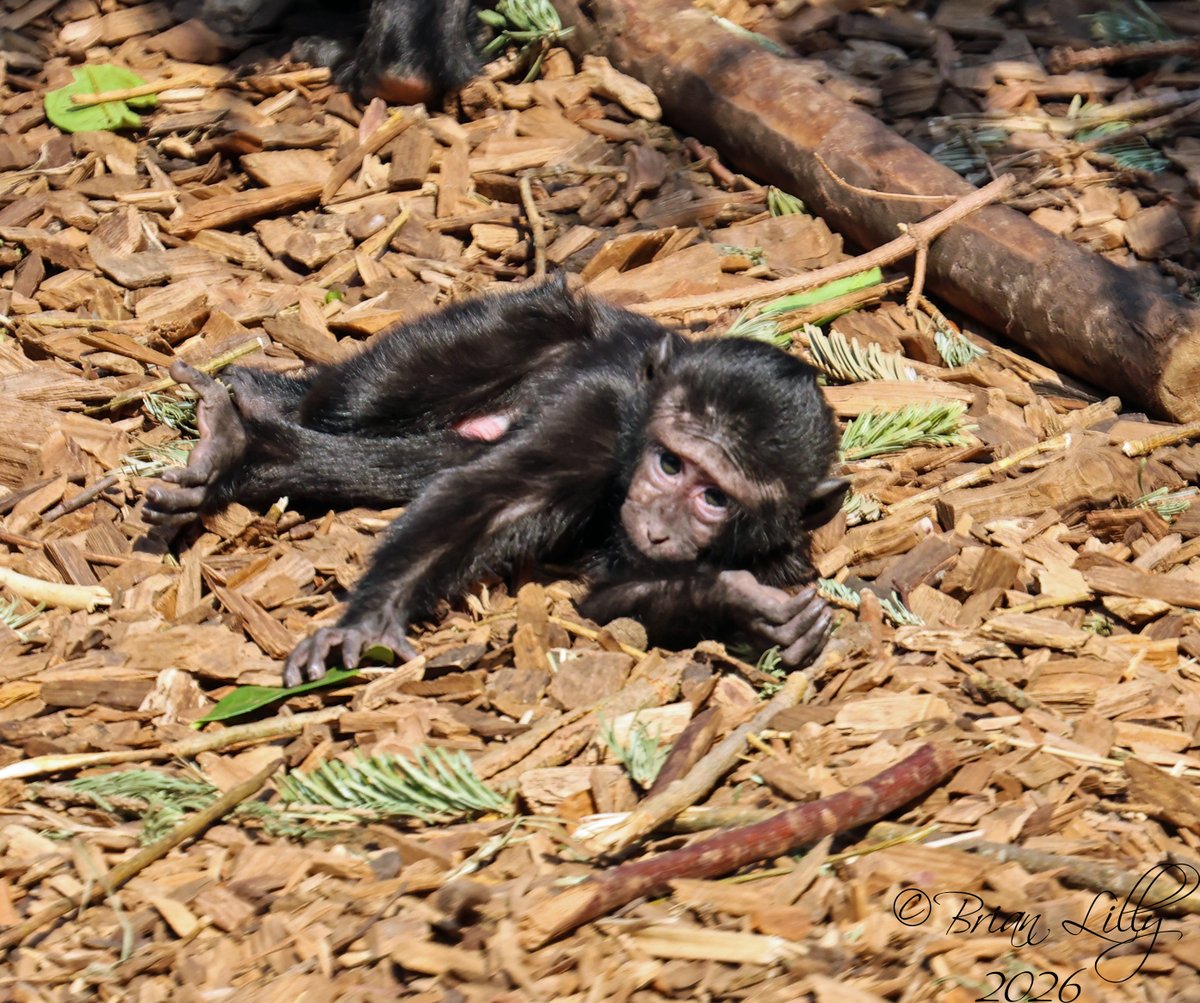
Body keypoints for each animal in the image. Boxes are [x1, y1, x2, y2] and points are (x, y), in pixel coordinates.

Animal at [143, 279, 849, 685]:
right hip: (514, 322)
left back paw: (244, 452)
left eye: (714, 497)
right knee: (356, 403)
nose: (654, 525)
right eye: (671, 464)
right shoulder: (599, 411)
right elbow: (488, 500)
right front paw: (366, 623)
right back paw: (253, 416)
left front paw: (746, 611)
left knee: (419, 460)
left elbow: (608, 606)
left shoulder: (781, 554)